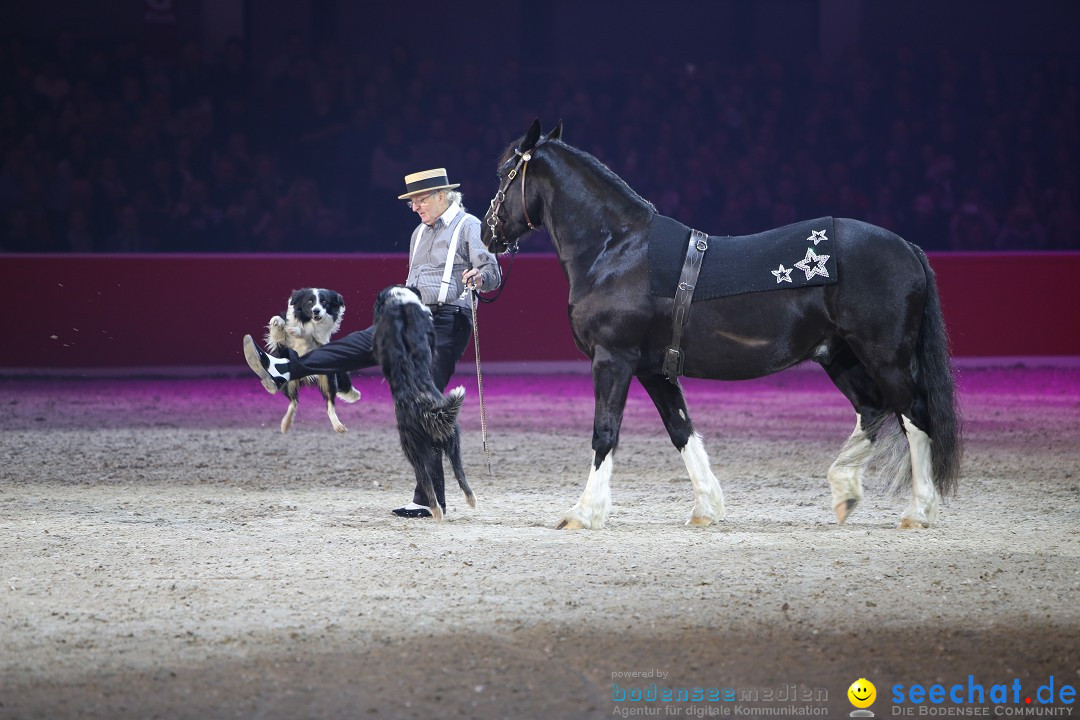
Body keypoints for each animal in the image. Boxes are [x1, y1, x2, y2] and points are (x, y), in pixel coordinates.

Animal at [481, 120, 963, 528]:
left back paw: (918, 511)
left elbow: (605, 433)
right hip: (838, 356)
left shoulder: (612, 359)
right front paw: (707, 509)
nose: (487, 235)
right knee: (873, 409)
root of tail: (907, 247)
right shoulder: (654, 369)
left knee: (914, 414)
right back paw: (844, 490)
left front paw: (583, 513)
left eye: (505, 173)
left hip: (886, 357)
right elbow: (682, 430)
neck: (617, 251)